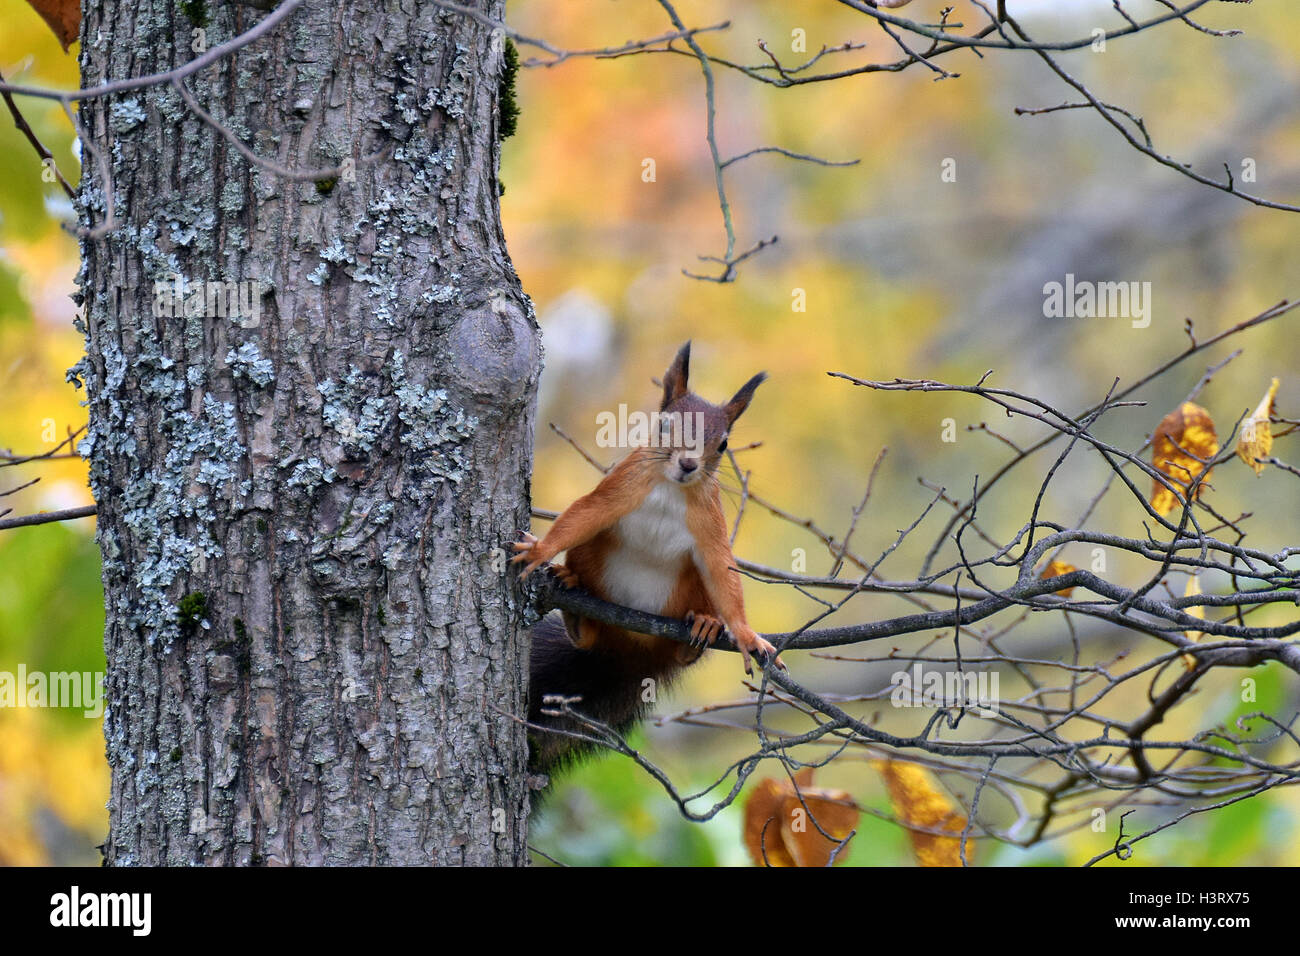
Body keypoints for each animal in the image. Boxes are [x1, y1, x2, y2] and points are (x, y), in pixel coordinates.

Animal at [513, 341, 781, 777]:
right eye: (666, 425)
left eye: (723, 444)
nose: (688, 464)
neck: (672, 489)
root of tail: (629, 653)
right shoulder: (619, 488)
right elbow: (581, 516)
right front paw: (539, 551)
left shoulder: (710, 525)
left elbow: (722, 572)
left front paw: (744, 633)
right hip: (594, 558)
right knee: (586, 632)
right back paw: (572, 593)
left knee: (683, 647)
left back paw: (703, 627)